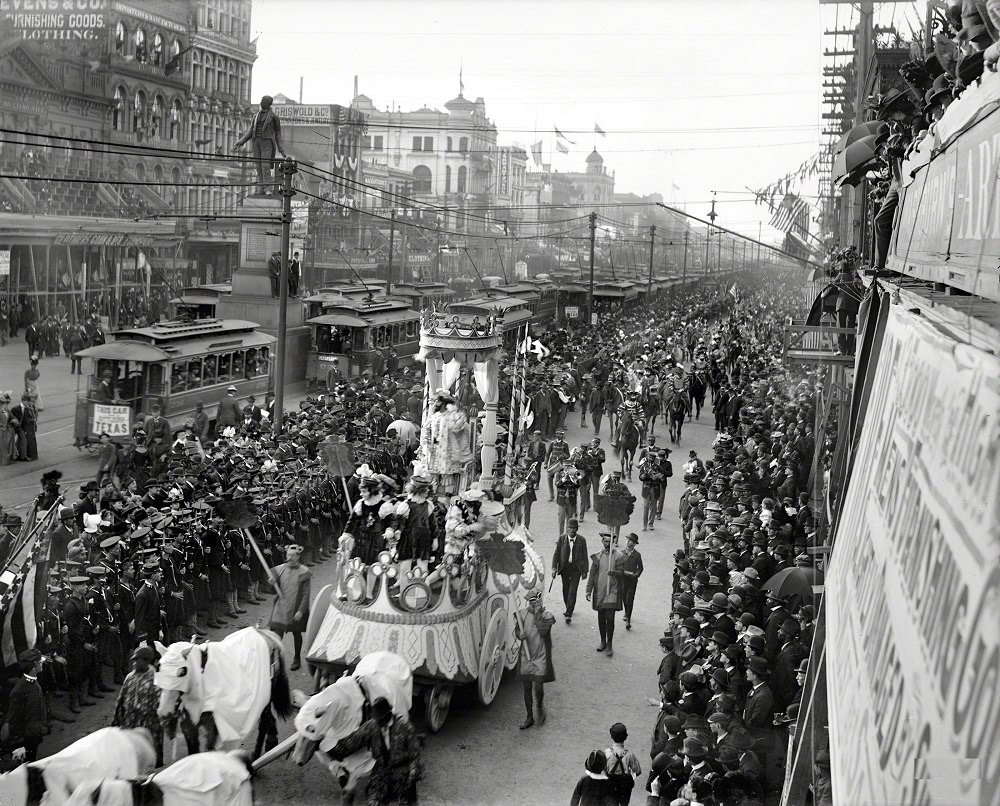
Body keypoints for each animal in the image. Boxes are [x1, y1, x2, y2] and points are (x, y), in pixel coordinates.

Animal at [154, 628, 292, 756]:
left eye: (182, 672)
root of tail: (268, 635)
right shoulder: (189, 727)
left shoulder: (212, 728)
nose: (164, 713)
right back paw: (271, 742)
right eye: (159, 668)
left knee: (264, 722)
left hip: (265, 697)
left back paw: (256, 755)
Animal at [290, 652, 414, 800]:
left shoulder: (360, 763)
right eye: (297, 726)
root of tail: (389, 654)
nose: (296, 760)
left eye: (311, 729)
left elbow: (348, 790)